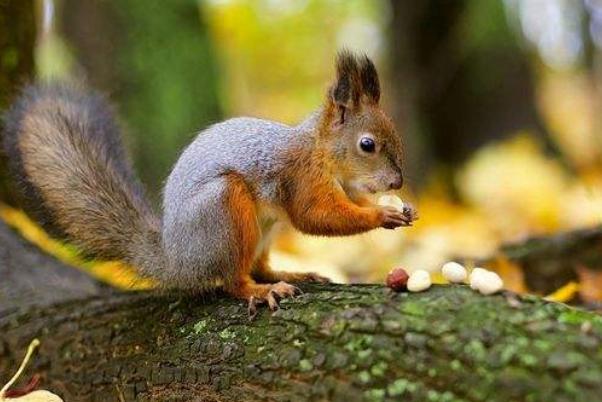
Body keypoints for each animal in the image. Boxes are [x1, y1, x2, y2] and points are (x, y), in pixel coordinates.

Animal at [4, 50, 414, 312]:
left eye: (395, 132)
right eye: (367, 145)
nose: (397, 183)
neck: (323, 153)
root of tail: (175, 260)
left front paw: (400, 209)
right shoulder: (301, 177)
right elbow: (316, 217)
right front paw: (382, 215)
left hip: (263, 230)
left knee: (258, 265)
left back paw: (290, 273)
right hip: (224, 211)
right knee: (233, 279)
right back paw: (260, 291)